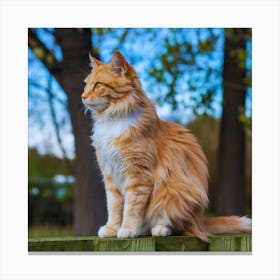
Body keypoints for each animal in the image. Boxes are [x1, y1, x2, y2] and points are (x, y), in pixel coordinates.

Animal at [81, 49, 252, 241]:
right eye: (86, 85)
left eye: (98, 85)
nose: (83, 96)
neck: (112, 119)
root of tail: (200, 221)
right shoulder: (110, 174)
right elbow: (114, 206)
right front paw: (112, 228)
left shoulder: (138, 175)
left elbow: (131, 208)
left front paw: (127, 229)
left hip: (175, 192)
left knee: (177, 225)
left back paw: (158, 229)